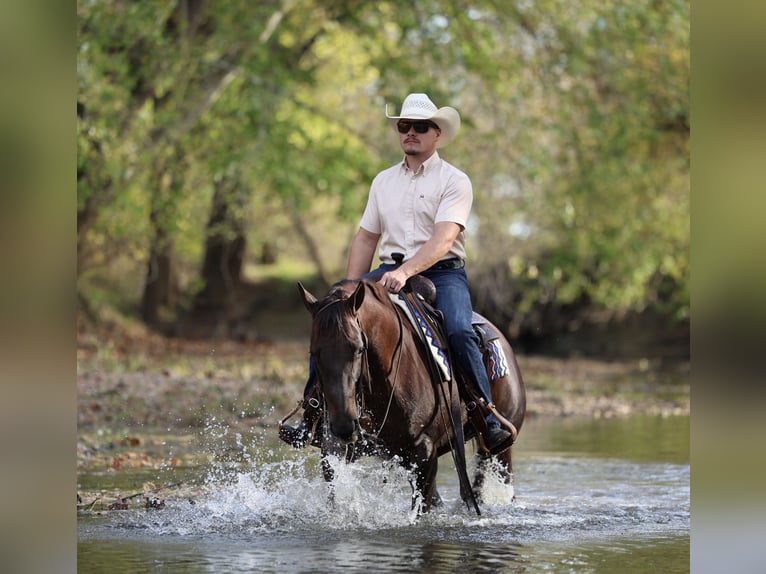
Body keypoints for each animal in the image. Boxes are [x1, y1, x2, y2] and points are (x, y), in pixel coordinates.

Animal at [295, 278, 526, 514]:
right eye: (314, 352)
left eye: (358, 349)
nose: (344, 425)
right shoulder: (334, 449)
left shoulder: (424, 451)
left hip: (499, 451)